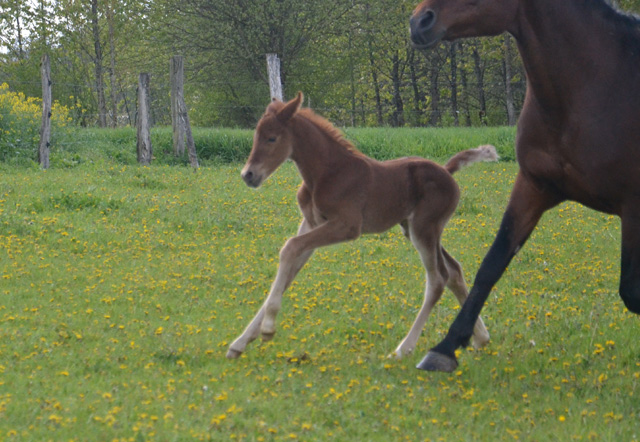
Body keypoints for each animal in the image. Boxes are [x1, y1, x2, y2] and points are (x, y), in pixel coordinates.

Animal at [226, 92, 497, 360]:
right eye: (256, 136)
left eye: (272, 138)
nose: (248, 175)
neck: (327, 173)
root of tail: (447, 170)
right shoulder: (310, 225)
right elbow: (289, 269)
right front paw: (240, 342)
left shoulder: (347, 226)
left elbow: (289, 248)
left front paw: (268, 328)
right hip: (415, 229)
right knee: (454, 271)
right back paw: (480, 338)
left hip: (424, 229)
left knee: (438, 278)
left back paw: (404, 348)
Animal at [410, 0, 640, 372]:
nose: (419, 22)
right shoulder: (533, 187)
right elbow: (492, 264)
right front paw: (446, 347)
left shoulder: (634, 207)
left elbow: (632, 291)